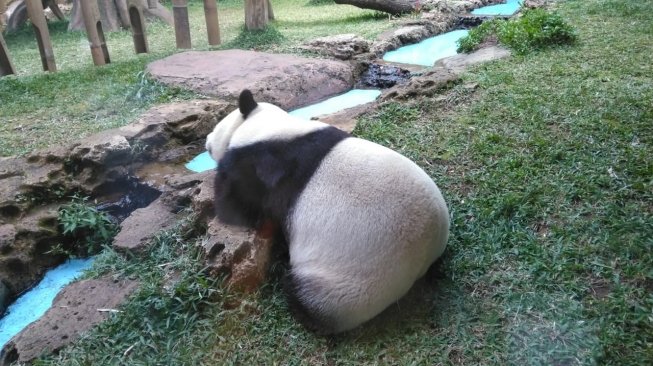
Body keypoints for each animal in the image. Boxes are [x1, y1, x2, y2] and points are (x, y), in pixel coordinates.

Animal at [205, 89, 448, 334]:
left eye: (217, 125)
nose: (207, 139)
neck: (270, 127)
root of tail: (424, 260)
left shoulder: (262, 168)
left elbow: (235, 206)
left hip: (352, 282)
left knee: (313, 297)